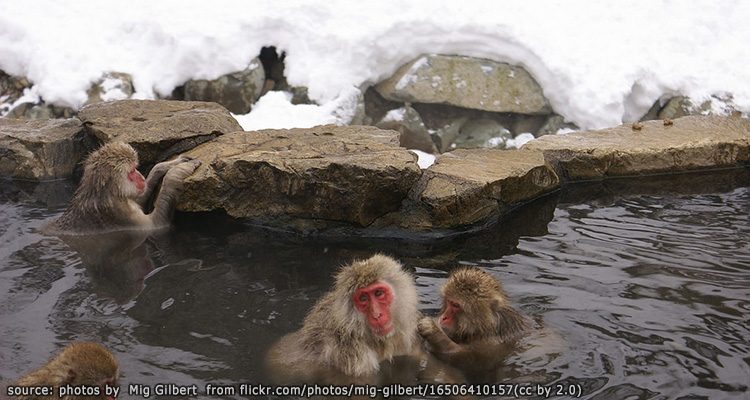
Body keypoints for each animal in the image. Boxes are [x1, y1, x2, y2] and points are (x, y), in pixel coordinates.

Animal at [44, 141, 200, 233]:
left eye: (136, 168)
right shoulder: (121, 214)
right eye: (131, 172)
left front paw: (166, 165)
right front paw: (177, 171)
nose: (141, 177)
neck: (108, 194)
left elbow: (141, 197)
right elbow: (156, 225)